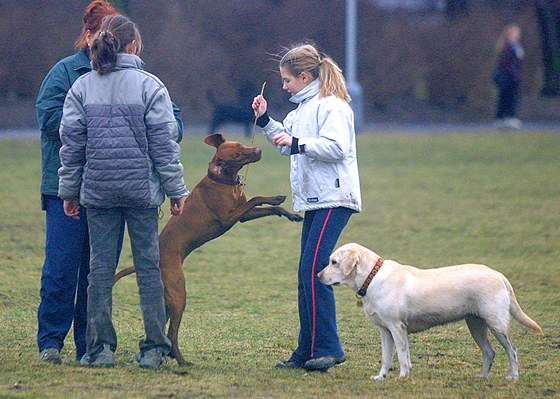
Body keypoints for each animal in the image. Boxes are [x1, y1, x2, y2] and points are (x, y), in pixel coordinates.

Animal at [112, 134, 302, 366]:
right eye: (237, 155)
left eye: (240, 144)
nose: (258, 150)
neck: (224, 182)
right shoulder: (229, 218)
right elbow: (256, 199)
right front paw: (275, 198)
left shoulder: (244, 215)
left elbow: (269, 208)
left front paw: (289, 213)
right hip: (179, 294)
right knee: (173, 333)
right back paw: (182, 361)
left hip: (167, 300)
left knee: (163, 328)